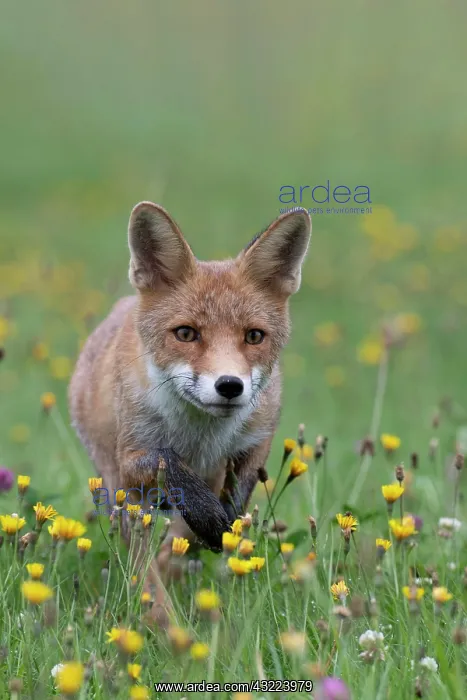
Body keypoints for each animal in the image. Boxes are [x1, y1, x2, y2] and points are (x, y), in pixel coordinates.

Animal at [69, 201, 311, 624]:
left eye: (254, 336)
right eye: (185, 334)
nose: (230, 386)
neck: (199, 437)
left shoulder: (257, 439)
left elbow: (234, 502)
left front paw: (213, 528)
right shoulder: (133, 455)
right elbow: (170, 463)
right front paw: (206, 519)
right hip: (121, 491)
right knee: (141, 562)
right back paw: (161, 616)